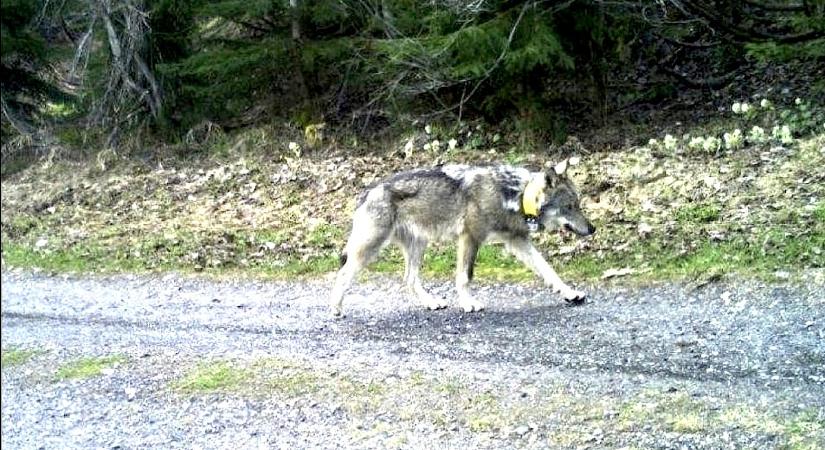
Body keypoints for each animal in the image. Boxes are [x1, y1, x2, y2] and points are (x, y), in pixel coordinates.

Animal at [328, 158, 592, 316]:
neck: (513, 194)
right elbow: (465, 277)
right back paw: (335, 308)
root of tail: (366, 192)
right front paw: (468, 303)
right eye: (569, 207)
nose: (592, 229)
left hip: (418, 245)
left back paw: (431, 302)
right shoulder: (470, 238)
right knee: (342, 274)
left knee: (409, 279)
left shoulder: (517, 241)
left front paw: (570, 293)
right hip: (370, 249)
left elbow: (549, 270)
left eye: (578, 205)